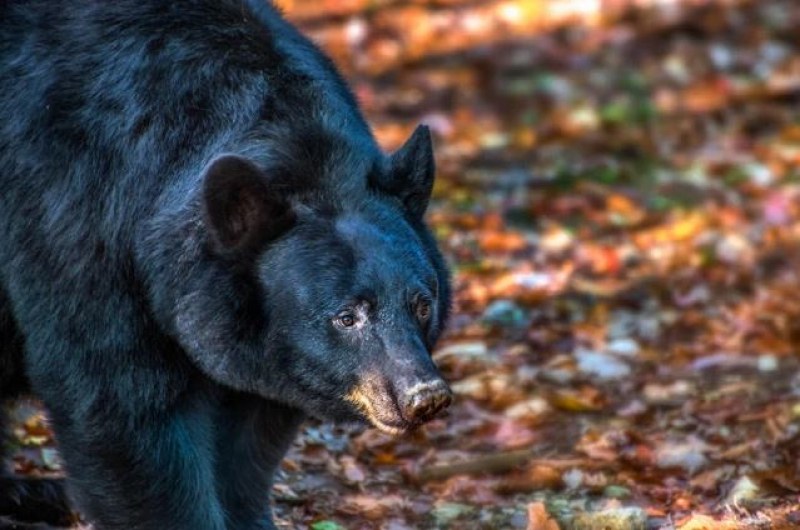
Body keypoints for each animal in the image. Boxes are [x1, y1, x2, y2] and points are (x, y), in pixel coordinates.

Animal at [0, 2, 450, 524]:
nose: (424, 396)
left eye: (422, 303)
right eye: (346, 317)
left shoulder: (266, 349)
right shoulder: (78, 229)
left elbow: (247, 443)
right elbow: (120, 406)